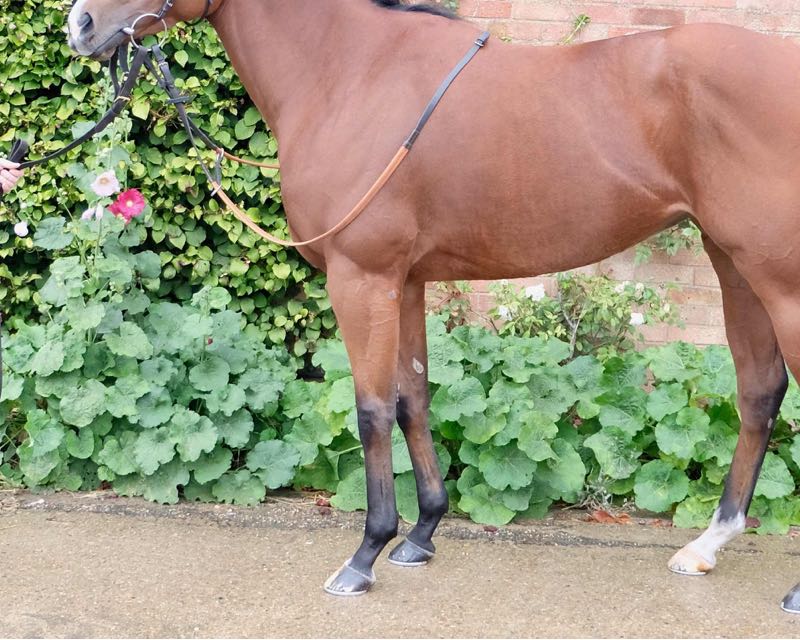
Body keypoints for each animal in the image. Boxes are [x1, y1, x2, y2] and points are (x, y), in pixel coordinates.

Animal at [65, 0, 800, 608]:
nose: (79, 24)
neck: (348, 73)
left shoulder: (362, 279)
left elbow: (370, 411)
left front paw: (366, 554)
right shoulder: (407, 281)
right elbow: (412, 399)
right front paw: (421, 533)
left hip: (779, 281)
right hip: (733, 262)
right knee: (759, 392)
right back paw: (706, 546)